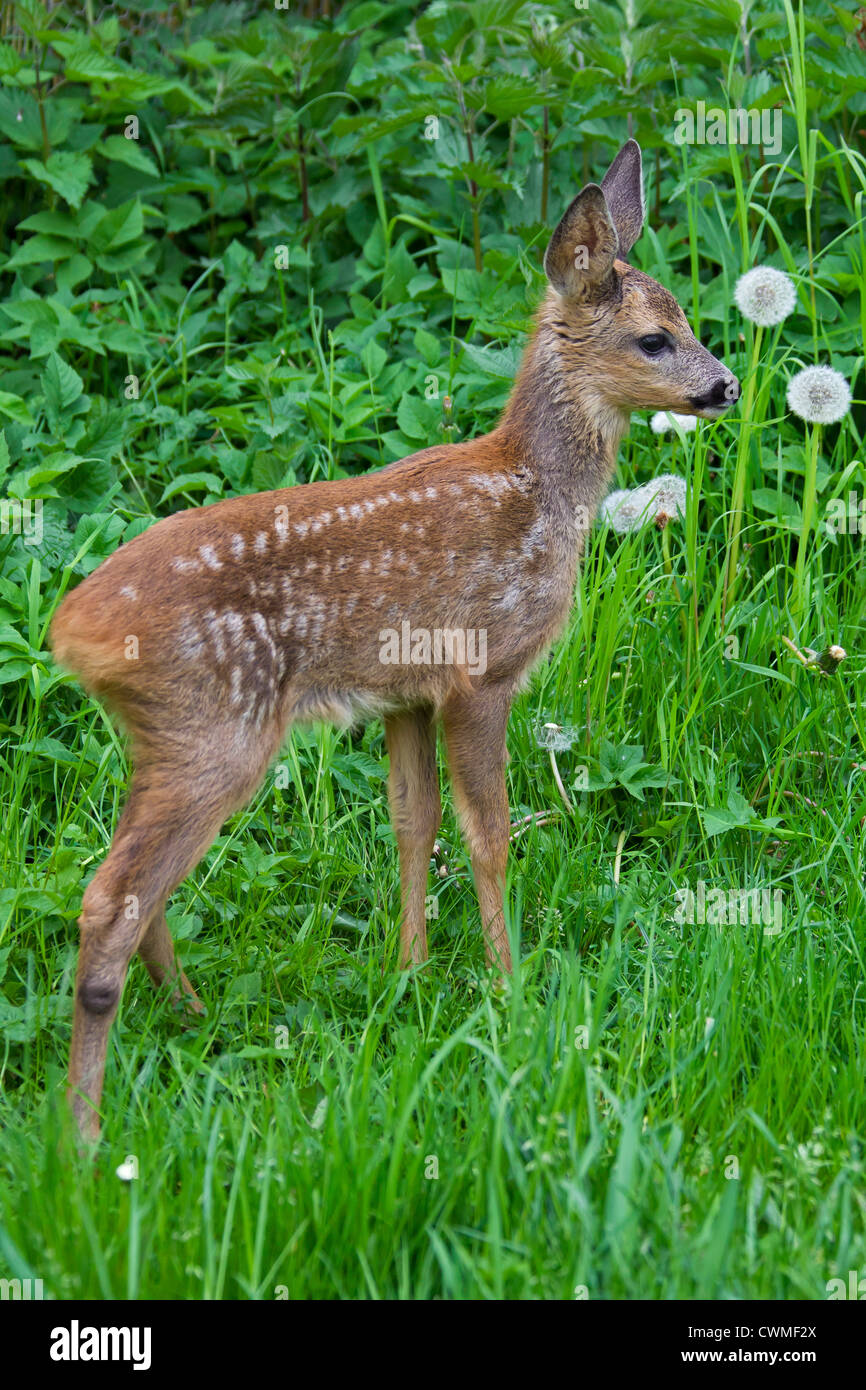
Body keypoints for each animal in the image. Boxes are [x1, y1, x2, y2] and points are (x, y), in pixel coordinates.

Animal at [51, 139, 739, 1140]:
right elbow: (489, 835)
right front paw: (510, 989)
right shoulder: (480, 671)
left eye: (687, 316)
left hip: (168, 738)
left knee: (135, 884)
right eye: (654, 338)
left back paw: (187, 1012)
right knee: (108, 896)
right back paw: (86, 1135)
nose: (724, 386)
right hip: (213, 726)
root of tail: (71, 632)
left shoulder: (405, 692)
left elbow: (413, 823)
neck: (537, 492)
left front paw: (408, 973)